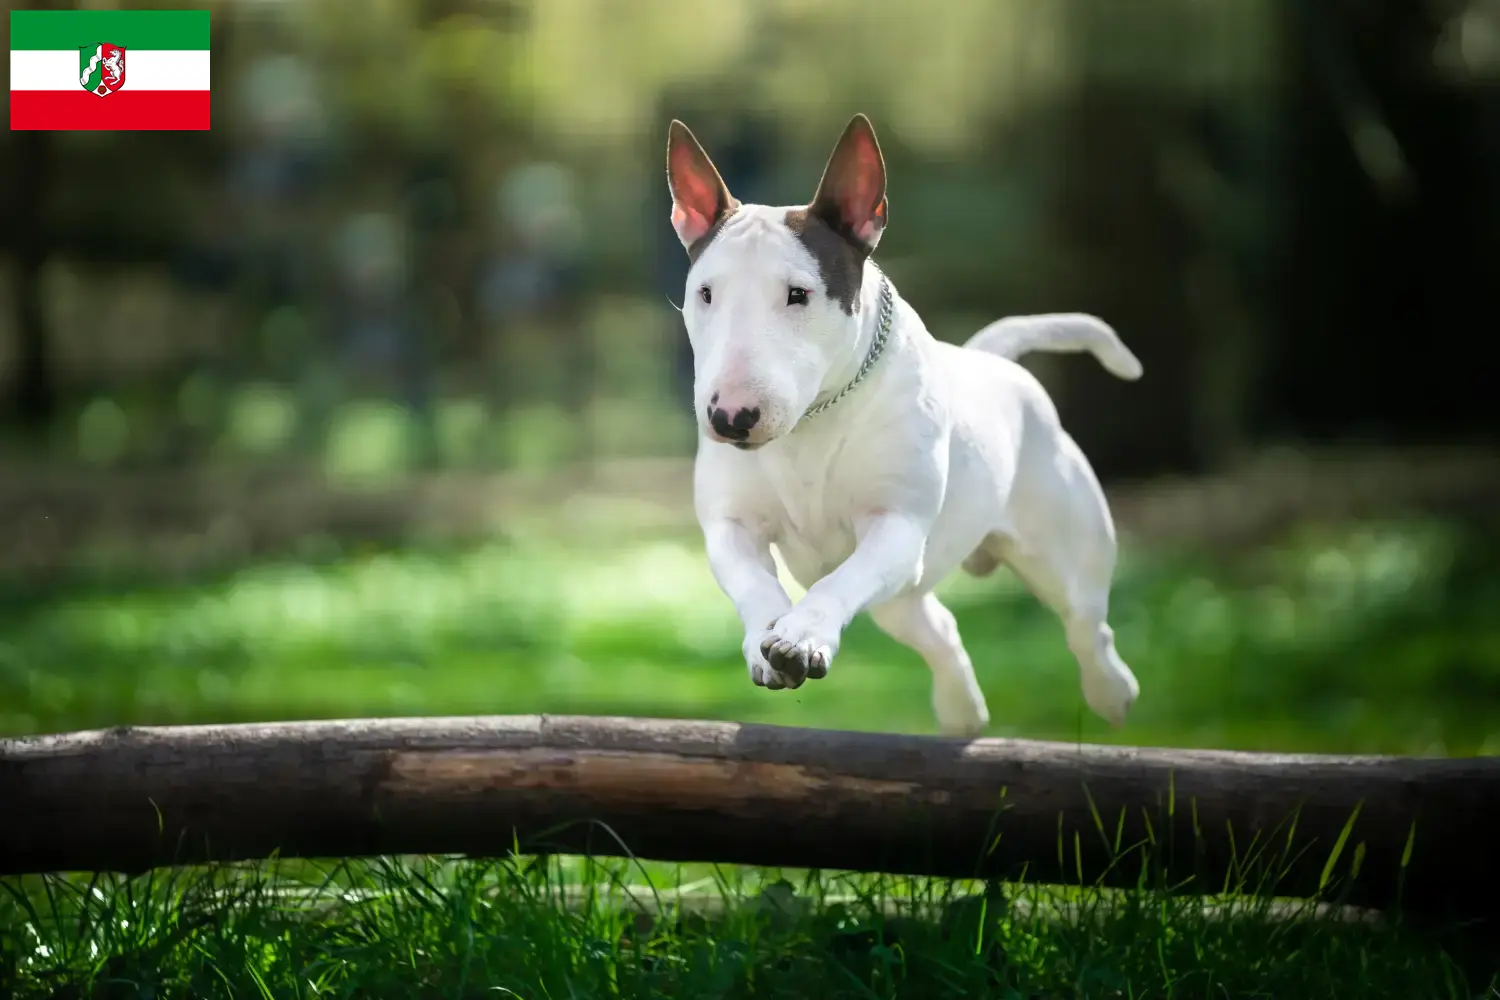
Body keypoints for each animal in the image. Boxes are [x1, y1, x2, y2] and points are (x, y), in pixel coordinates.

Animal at [669, 113, 1134, 734]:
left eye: (798, 294)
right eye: (705, 293)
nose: (729, 417)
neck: (813, 422)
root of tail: (996, 362)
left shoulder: (897, 526)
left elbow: (841, 578)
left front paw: (802, 635)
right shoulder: (730, 525)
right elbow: (754, 582)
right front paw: (767, 639)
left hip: (1059, 551)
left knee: (1087, 626)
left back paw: (1112, 692)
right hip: (903, 598)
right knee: (939, 630)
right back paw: (962, 712)